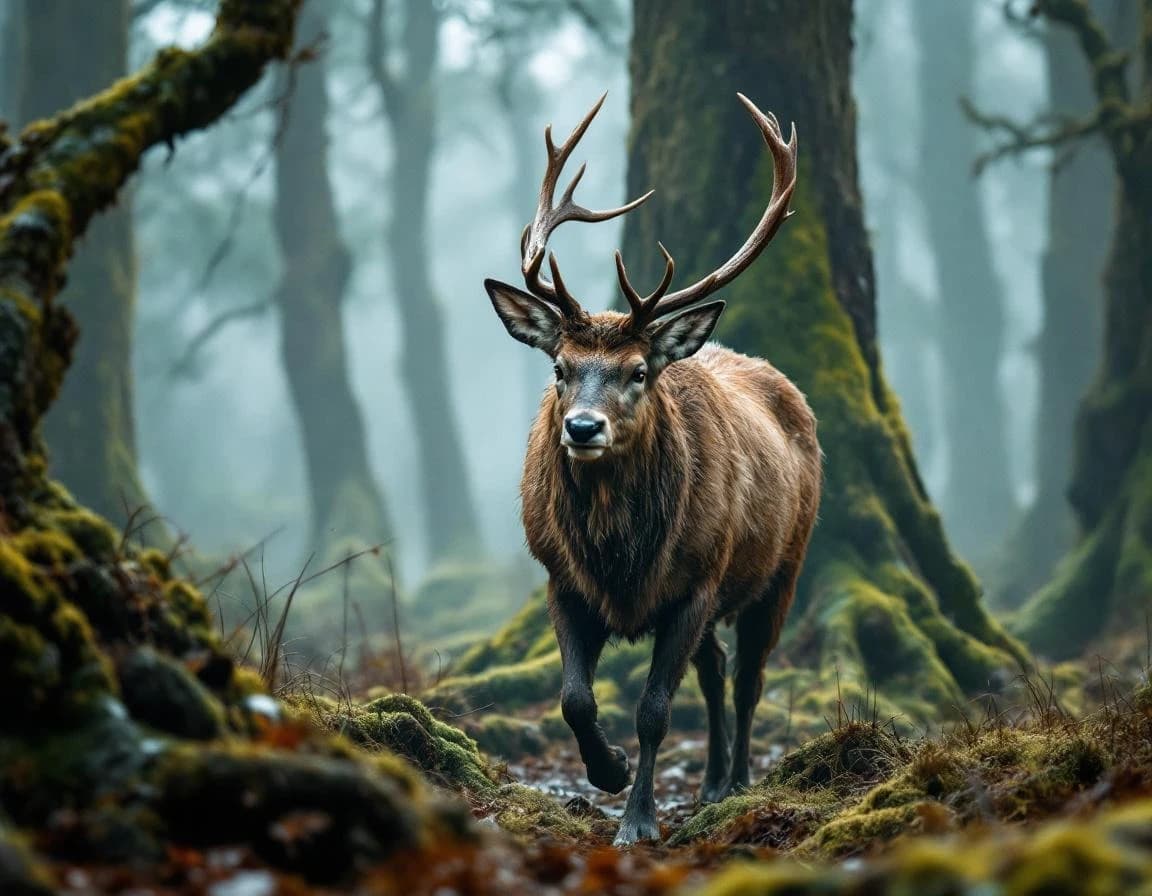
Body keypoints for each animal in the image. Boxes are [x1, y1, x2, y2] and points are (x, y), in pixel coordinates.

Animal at [483, 93, 821, 846]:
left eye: (638, 371)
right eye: (560, 367)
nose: (582, 428)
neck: (620, 554)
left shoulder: (695, 580)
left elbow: (654, 710)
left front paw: (637, 819)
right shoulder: (560, 576)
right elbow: (574, 697)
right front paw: (604, 771)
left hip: (781, 563)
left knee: (748, 676)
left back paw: (739, 778)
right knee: (717, 670)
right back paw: (713, 778)